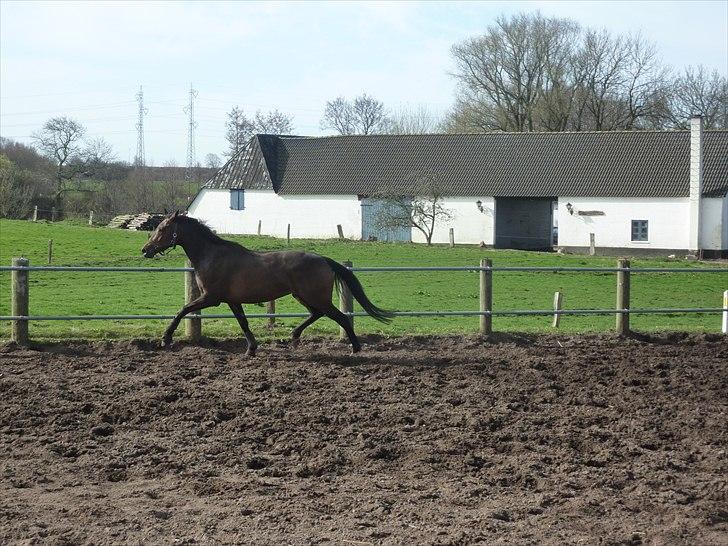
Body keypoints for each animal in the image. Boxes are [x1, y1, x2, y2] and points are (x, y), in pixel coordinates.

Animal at [141, 210, 392, 354]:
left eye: (163, 228)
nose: (145, 250)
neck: (211, 255)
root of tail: (324, 259)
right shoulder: (232, 301)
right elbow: (243, 323)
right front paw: (251, 349)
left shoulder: (211, 298)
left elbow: (183, 310)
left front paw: (165, 339)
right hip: (302, 296)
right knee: (317, 314)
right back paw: (294, 336)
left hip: (315, 297)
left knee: (340, 317)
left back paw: (355, 348)